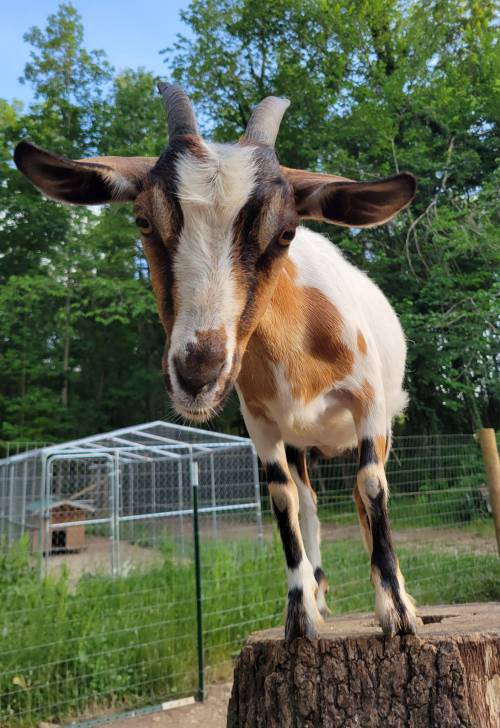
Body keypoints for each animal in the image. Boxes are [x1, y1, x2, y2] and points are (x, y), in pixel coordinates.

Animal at [14, 83, 418, 639]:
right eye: (144, 219)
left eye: (286, 233)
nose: (198, 373)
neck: (299, 348)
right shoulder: (263, 423)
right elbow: (282, 499)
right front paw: (300, 614)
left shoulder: (370, 406)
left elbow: (372, 488)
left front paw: (397, 609)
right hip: (301, 441)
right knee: (311, 503)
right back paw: (320, 588)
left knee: (359, 497)